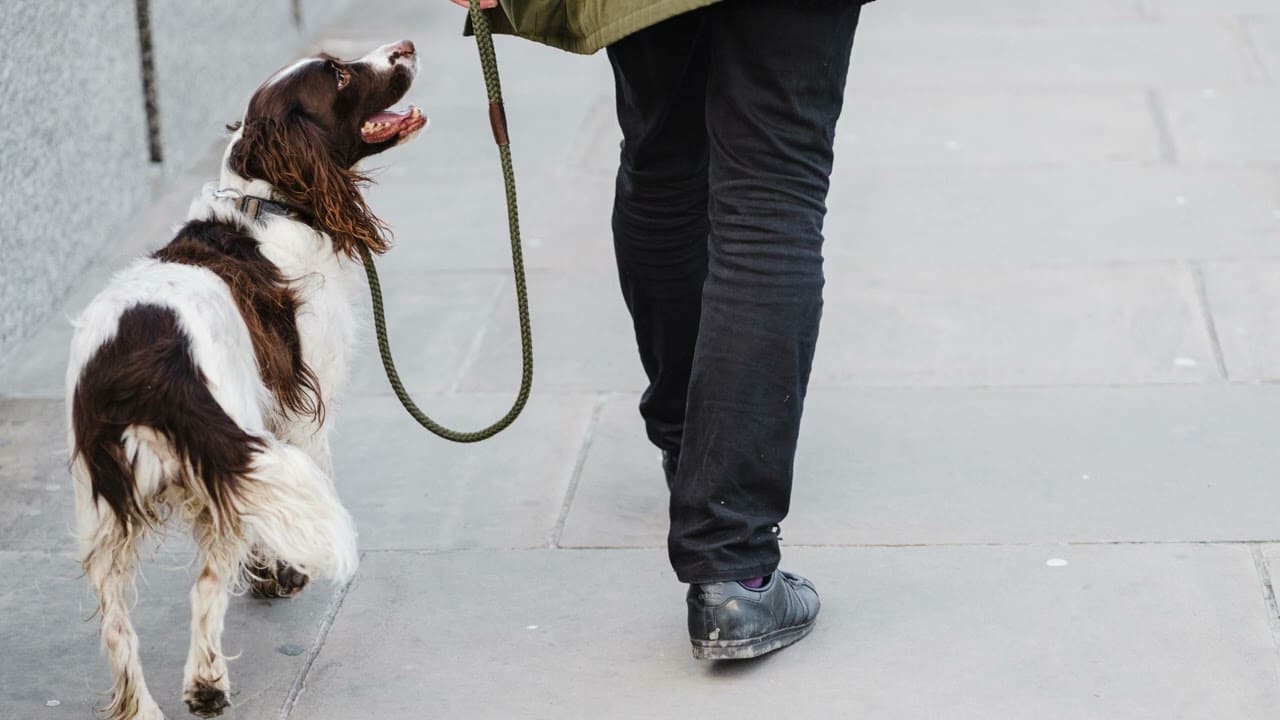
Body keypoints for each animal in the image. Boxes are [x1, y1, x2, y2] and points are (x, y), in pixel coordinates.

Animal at [66, 41, 424, 712]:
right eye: (339, 75)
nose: (407, 47)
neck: (269, 200)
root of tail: (143, 366)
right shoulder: (299, 404)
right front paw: (281, 572)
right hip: (221, 447)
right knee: (206, 589)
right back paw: (206, 684)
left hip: (103, 506)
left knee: (117, 625)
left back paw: (143, 708)